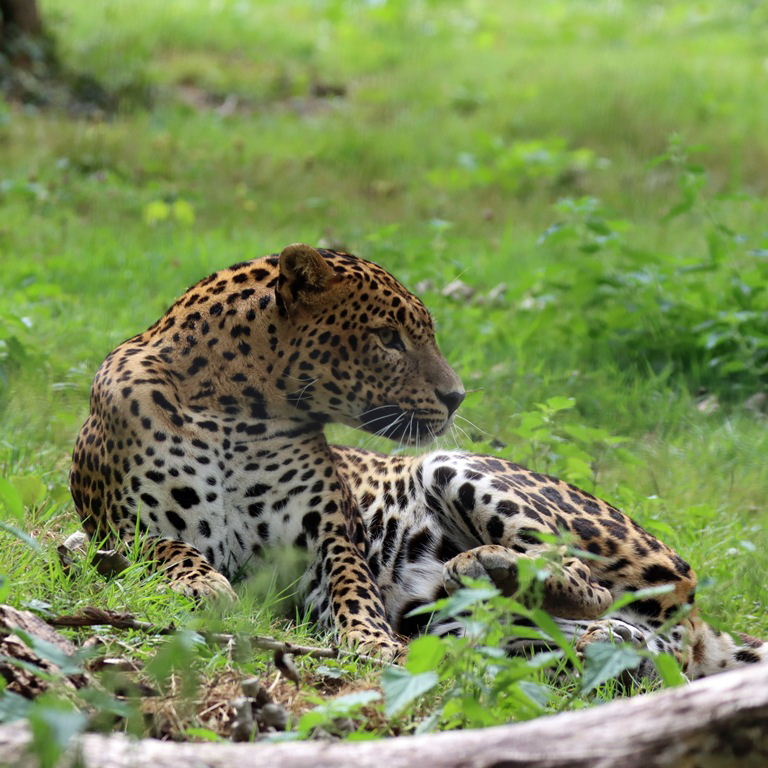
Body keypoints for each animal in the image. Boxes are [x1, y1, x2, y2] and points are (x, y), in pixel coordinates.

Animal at [71, 243, 766, 677]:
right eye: (388, 339)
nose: (458, 396)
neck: (240, 414)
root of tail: (703, 630)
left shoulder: (327, 539)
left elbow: (352, 591)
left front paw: (371, 643)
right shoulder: (115, 527)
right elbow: (165, 547)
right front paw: (201, 582)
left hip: (463, 470)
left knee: (585, 577)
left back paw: (490, 564)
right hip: (466, 619)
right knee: (589, 633)